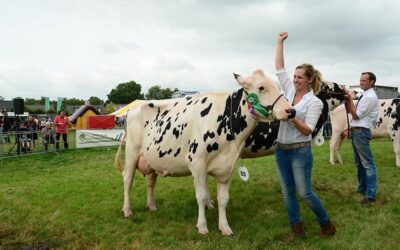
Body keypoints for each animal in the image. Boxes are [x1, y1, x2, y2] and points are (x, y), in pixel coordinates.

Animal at [114, 69, 296, 235]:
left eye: (278, 86)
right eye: (261, 87)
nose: (291, 111)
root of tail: (133, 108)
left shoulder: (227, 166)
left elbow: (223, 199)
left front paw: (224, 227)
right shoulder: (196, 162)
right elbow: (201, 196)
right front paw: (202, 226)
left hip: (151, 159)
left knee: (151, 181)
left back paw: (151, 206)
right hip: (131, 153)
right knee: (127, 180)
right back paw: (127, 210)